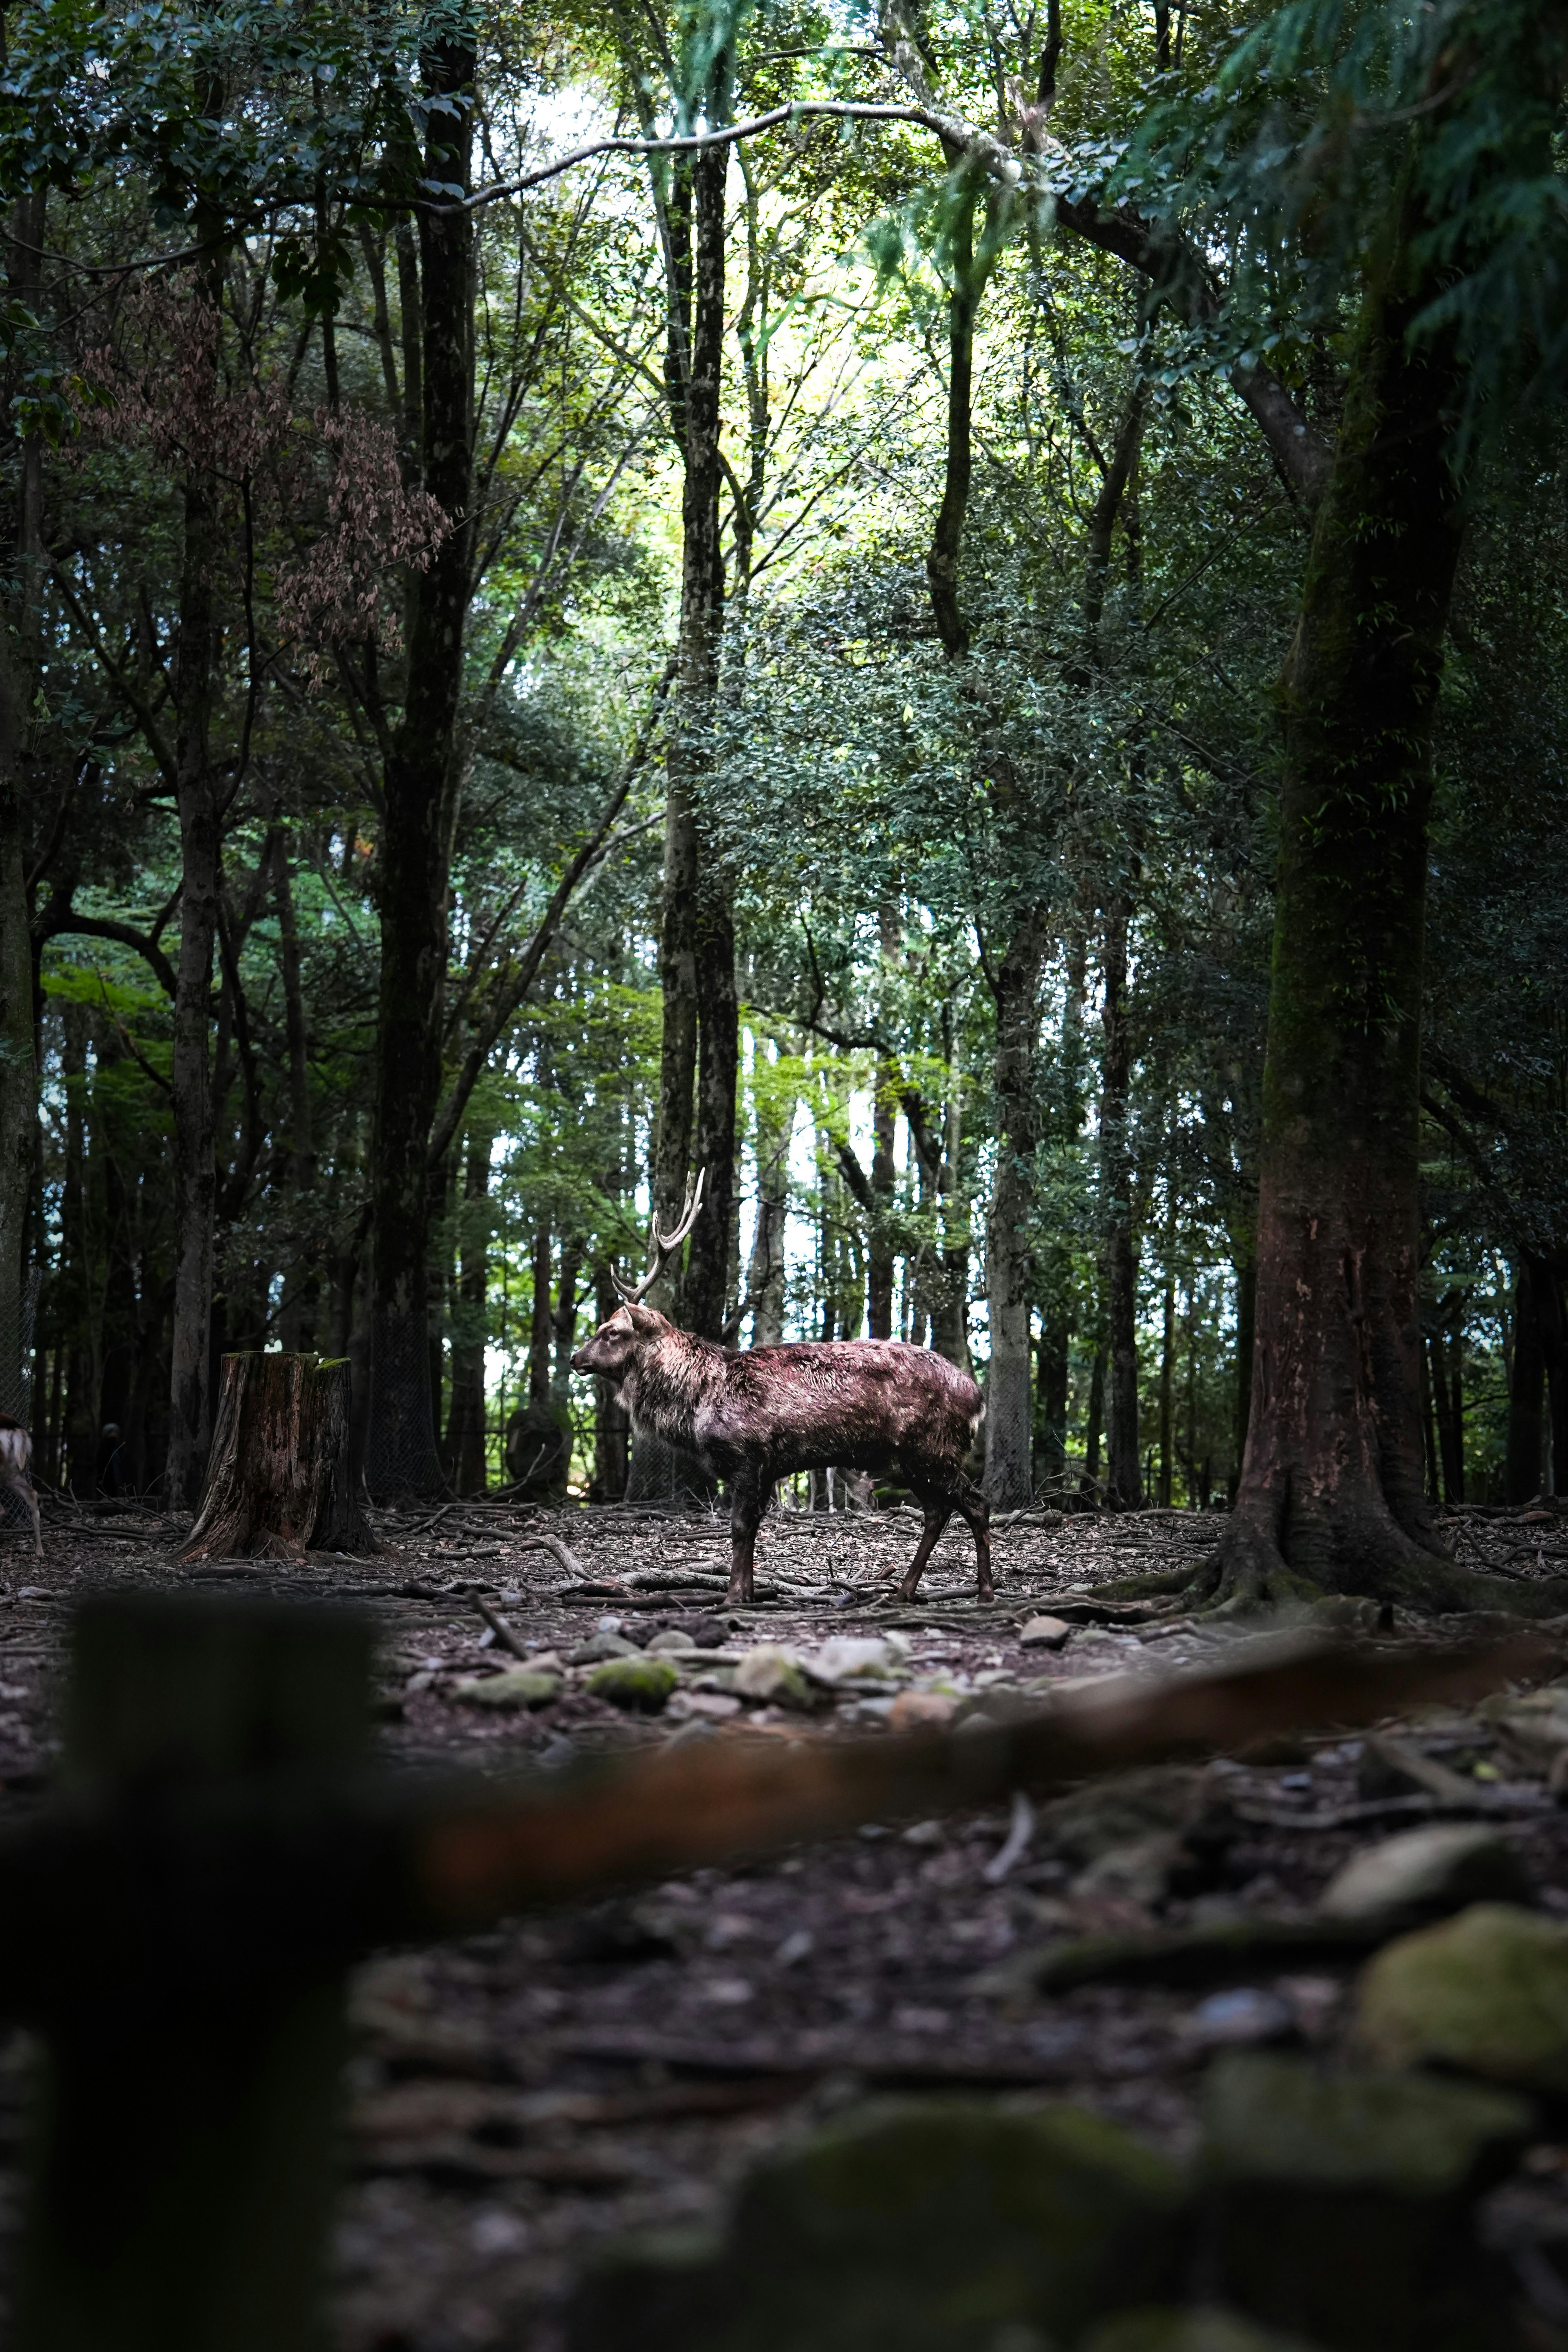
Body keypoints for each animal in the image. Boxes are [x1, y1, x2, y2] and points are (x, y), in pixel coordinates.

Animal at [573, 1174, 991, 1606]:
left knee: (975, 1504)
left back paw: (984, 1590)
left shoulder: (747, 1454)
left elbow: (740, 1526)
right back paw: (904, 1591)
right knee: (938, 1511)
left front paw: (732, 1596)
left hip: (933, 1448)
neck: (699, 1401)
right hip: (913, 1459)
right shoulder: (766, 1467)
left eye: (611, 1331)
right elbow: (754, 1526)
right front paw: (749, 1592)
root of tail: (977, 1396)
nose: (574, 1357)